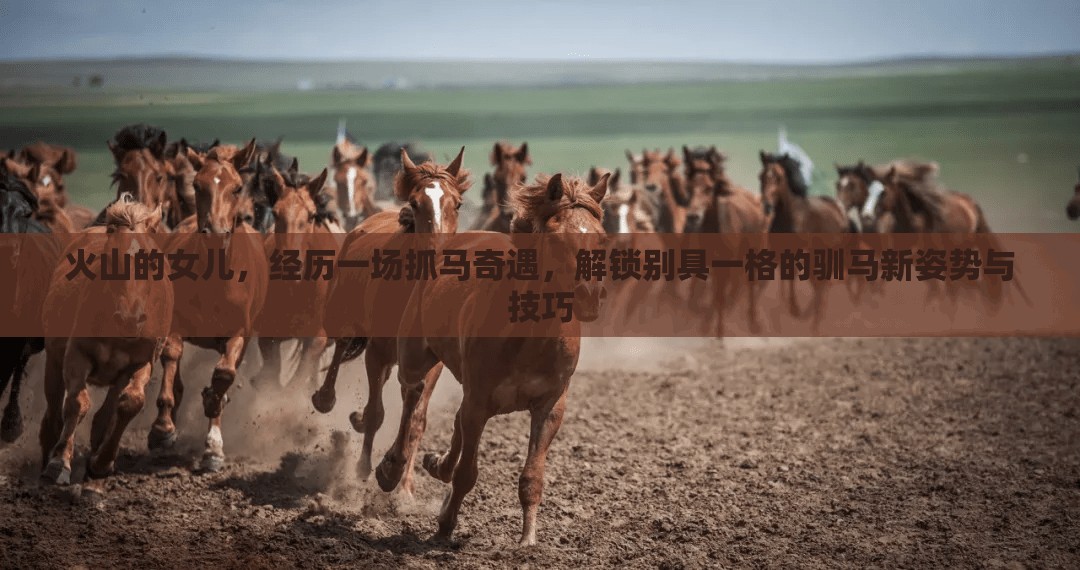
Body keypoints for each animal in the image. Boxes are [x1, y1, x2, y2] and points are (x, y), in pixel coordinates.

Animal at [39, 194, 171, 489]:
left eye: (152, 263)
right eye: (112, 260)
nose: (130, 319)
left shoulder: (141, 362)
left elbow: (130, 402)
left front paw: (102, 463)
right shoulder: (77, 354)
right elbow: (77, 403)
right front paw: (59, 463)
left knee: (105, 414)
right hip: (53, 360)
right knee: (53, 408)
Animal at [147, 139, 269, 472]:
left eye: (237, 187)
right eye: (198, 185)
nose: (215, 233)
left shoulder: (240, 332)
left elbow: (225, 374)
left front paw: (213, 445)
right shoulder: (176, 322)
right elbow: (171, 357)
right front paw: (162, 428)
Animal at [312, 147, 469, 491]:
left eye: (457, 204)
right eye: (415, 203)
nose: (439, 253)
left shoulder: (431, 363)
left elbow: (416, 417)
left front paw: (402, 482)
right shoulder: (378, 351)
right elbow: (376, 413)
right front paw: (366, 469)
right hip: (343, 315)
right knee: (342, 344)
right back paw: (325, 397)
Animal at [377, 171, 609, 545]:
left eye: (601, 237)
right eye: (557, 237)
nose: (590, 295)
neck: (529, 337)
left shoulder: (550, 407)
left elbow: (531, 477)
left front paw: (528, 539)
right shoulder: (479, 401)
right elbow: (466, 472)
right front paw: (445, 525)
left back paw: (436, 464)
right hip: (415, 356)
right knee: (413, 397)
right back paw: (391, 468)